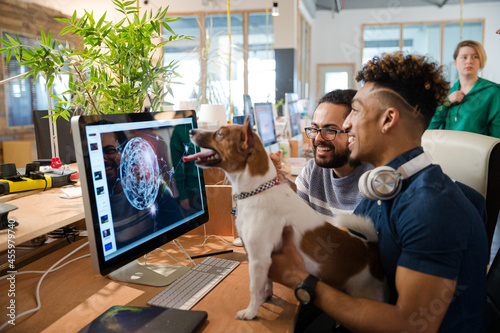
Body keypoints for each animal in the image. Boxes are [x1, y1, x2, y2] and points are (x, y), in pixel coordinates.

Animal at [183, 118, 386, 320]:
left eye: (219, 133)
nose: (191, 131)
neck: (257, 191)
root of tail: (370, 248)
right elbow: (266, 282)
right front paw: (265, 297)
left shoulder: (258, 259)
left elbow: (253, 288)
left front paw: (251, 311)